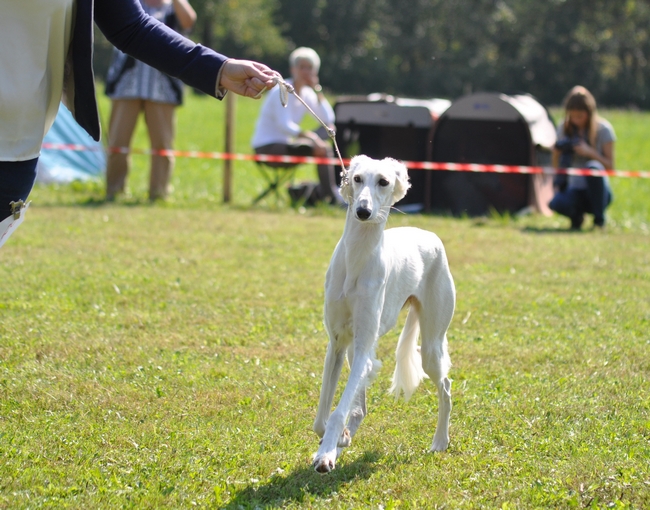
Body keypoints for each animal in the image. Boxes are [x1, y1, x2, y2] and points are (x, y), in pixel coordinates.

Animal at [310, 155, 454, 474]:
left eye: (384, 181)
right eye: (357, 178)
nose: (363, 211)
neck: (357, 258)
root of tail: (431, 235)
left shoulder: (364, 345)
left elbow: (337, 412)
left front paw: (326, 454)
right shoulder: (337, 343)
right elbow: (322, 417)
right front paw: (336, 441)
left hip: (431, 344)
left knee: (446, 387)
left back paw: (440, 441)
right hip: (355, 349)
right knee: (360, 407)